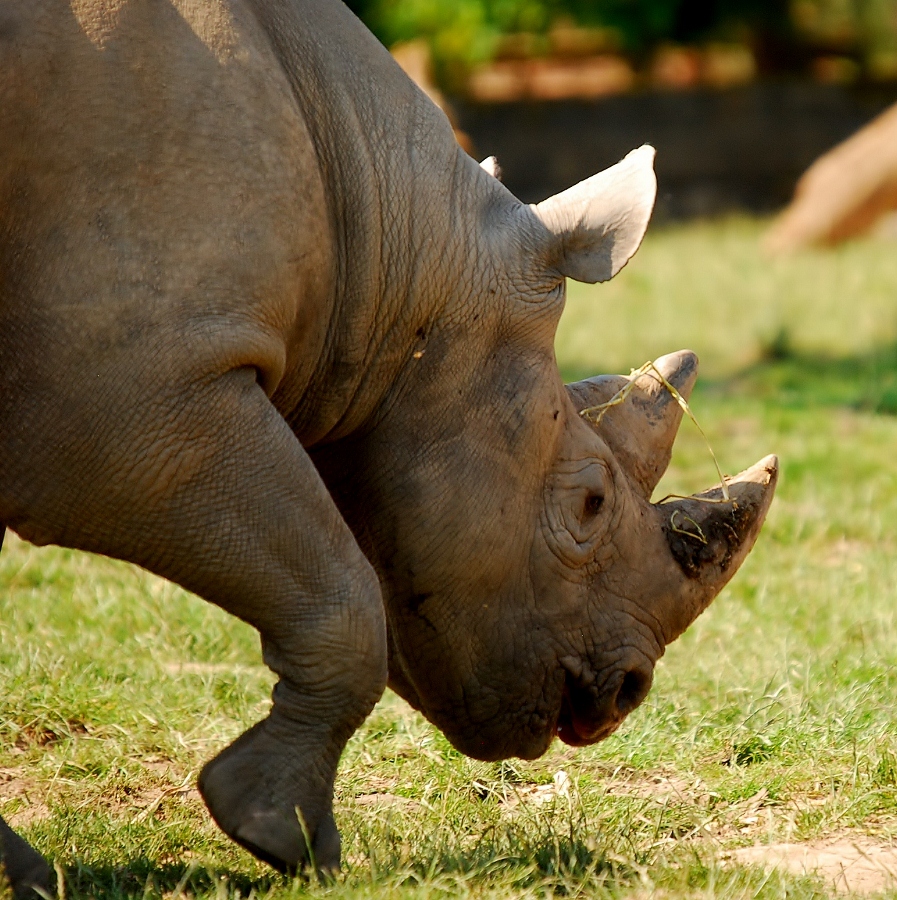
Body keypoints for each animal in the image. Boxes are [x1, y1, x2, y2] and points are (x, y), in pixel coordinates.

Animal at [0, 0, 778, 894]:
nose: (624, 693)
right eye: (589, 502)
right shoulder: (137, 393)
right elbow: (345, 600)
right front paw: (284, 839)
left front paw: (28, 875)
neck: (389, 251)